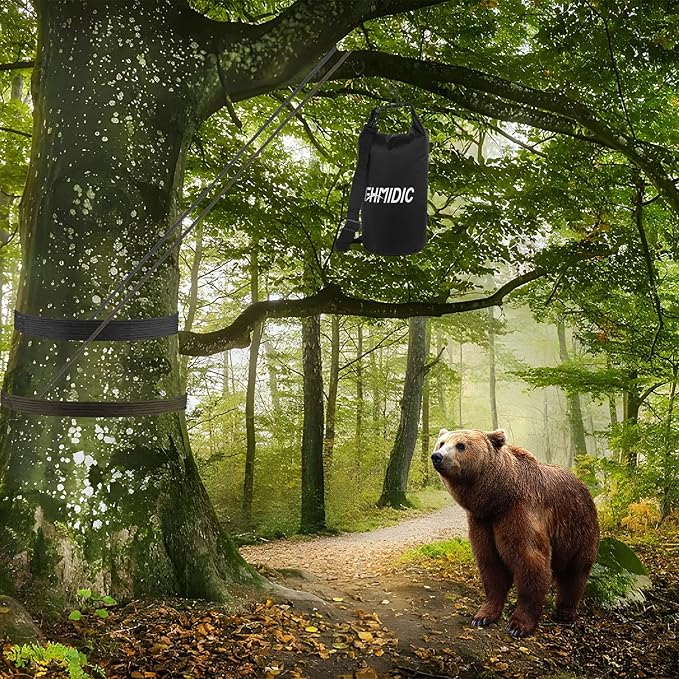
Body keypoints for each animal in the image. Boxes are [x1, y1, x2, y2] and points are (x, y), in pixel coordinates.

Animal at [431, 428, 599, 638]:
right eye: (441, 443)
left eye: (461, 445)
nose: (437, 456)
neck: (498, 497)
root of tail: (583, 485)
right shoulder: (482, 522)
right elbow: (490, 564)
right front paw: (483, 616)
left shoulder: (520, 512)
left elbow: (530, 561)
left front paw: (518, 625)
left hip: (578, 529)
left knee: (575, 573)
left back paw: (564, 612)